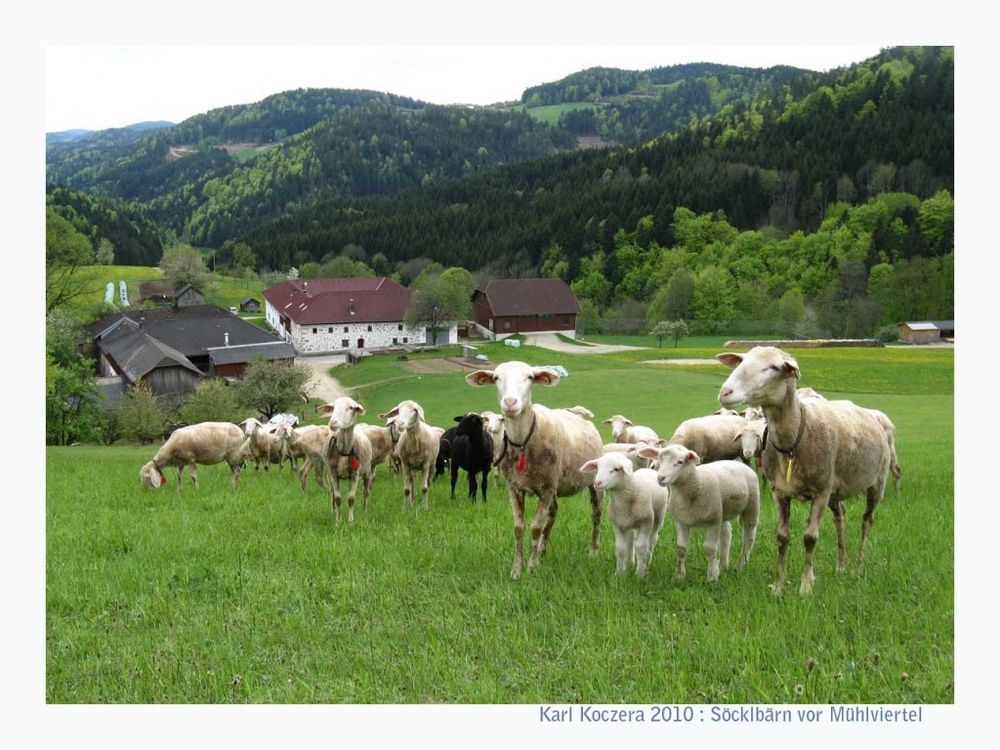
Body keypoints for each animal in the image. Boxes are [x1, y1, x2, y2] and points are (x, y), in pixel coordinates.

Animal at [318, 396, 374, 524]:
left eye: (350, 408)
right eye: (333, 408)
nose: (332, 423)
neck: (344, 450)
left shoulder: (355, 473)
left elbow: (351, 498)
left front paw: (350, 520)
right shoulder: (333, 473)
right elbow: (338, 498)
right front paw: (338, 521)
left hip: (367, 471)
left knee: (366, 492)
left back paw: (364, 511)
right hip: (329, 476)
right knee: (332, 492)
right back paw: (333, 511)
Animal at [466, 362, 600, 580]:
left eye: (529, 377)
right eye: (496, 378)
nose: (510, 402)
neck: (523, 443)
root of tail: (577, 413)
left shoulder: (545, 489)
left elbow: (536, 528)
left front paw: (530, 569)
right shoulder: (515, 488)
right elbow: (519, 528)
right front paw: (517, 570)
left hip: (593, 482)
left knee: (596, 514)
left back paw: (594, 550)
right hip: (553, 486)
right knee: (553, 514)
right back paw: (541, 553)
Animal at [636, 444, 760, 584]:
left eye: (680, 462)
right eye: (660, 459)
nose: (660, 478)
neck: (697, 483)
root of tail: (738, 463)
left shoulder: (713, 521)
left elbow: (710, 549)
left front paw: (711, 578)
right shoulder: (682, 521)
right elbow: (681, 548)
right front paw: (678, 576)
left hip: (752, 504)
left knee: (749, 535)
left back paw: (740, 565)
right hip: (722, 511)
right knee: (726, 534)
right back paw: (723, 565)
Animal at [720, 348, 892, 600]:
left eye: (774, 367)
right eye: (740, 361)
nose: (725, 392)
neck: (793, 441)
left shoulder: (820, 492)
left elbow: (810, 538)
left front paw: (805, 587)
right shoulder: (779, 492)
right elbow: (782, 537)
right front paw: (779, 586)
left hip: (876, 482)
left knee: (867, 521)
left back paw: (858, 566)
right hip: (835, 490)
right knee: (840, 516)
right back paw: (841, 565)